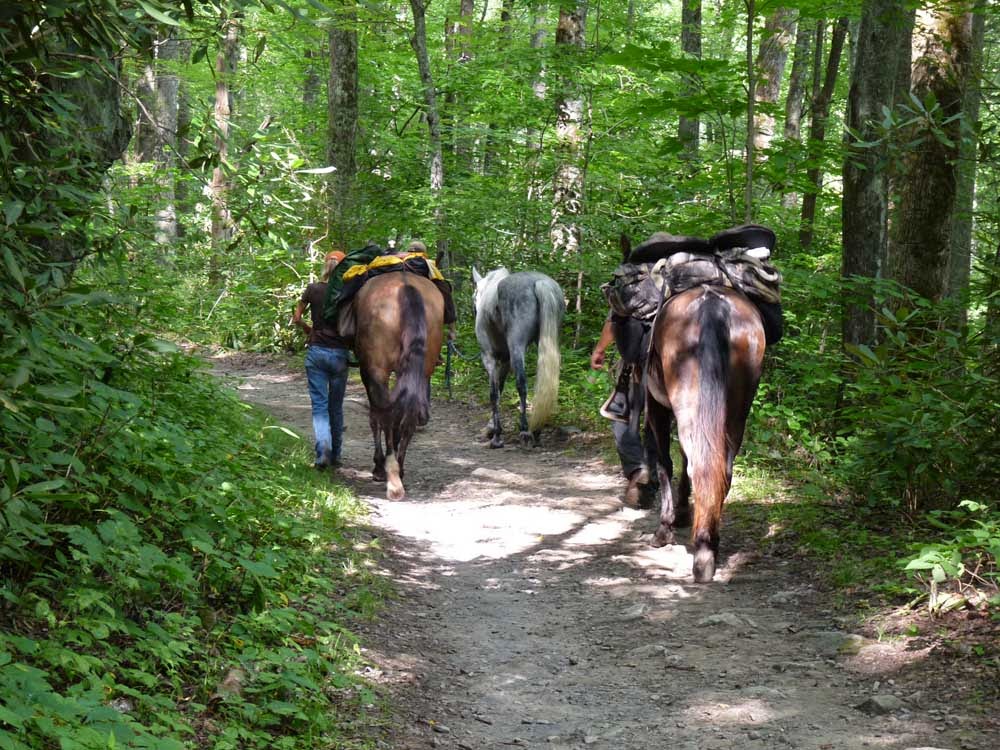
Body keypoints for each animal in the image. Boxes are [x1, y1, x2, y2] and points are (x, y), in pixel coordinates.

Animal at [349, 272, 444, 500]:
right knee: (407, 417)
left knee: (385, 415)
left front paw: (378, 466)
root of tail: (407, 287)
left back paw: (390, 474)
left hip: (377, 369)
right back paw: (398, 470)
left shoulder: (369, 372)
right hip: (422, 366)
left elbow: (375, 417)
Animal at [472, 267, 564, 448]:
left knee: (521, 384)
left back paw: (525, 431)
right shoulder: (505, 360)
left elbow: (493, 392)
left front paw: (496, 435)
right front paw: (491, 428)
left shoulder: (489, 357)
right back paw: (536, 431)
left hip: (517, 346)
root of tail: (540, 282)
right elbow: (499, 387)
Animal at [644, 283, 766, 583]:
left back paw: (702, 552)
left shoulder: (655, 407)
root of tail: (714, 305)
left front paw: (665, 528)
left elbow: (665, 463)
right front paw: (683, 512)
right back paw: (710, 543)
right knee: (721, 468)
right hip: (736, 412)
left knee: (697, 465)